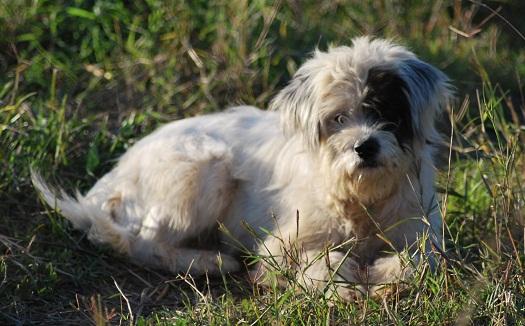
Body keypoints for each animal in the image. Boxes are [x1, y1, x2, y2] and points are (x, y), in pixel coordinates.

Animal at [31, 36, 450, 300]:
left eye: (384, 111)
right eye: (338, 119)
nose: (365, 147)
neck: (360, 199)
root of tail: (116, 174)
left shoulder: (423, 236)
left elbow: (419, 263)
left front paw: (385, 276)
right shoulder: (280, 246)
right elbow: (318, 260)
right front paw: (341, 286)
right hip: (205, 168)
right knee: (141, 243)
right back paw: (207, 262)